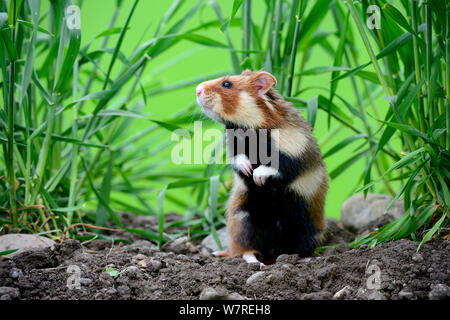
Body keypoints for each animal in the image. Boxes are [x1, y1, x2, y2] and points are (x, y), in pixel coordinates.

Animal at [196, 70, 326, 264]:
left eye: (227, 84)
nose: (197, 90)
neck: (249, 128)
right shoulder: (234, 147)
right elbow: (238, 159)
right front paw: (247, 169)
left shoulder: (296, 153)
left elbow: (278, 166)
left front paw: (257, 176)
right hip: (243, 218)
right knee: (244, 248)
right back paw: (250, 260)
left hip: (303, 224)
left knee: (301, 246)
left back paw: (303, 259)